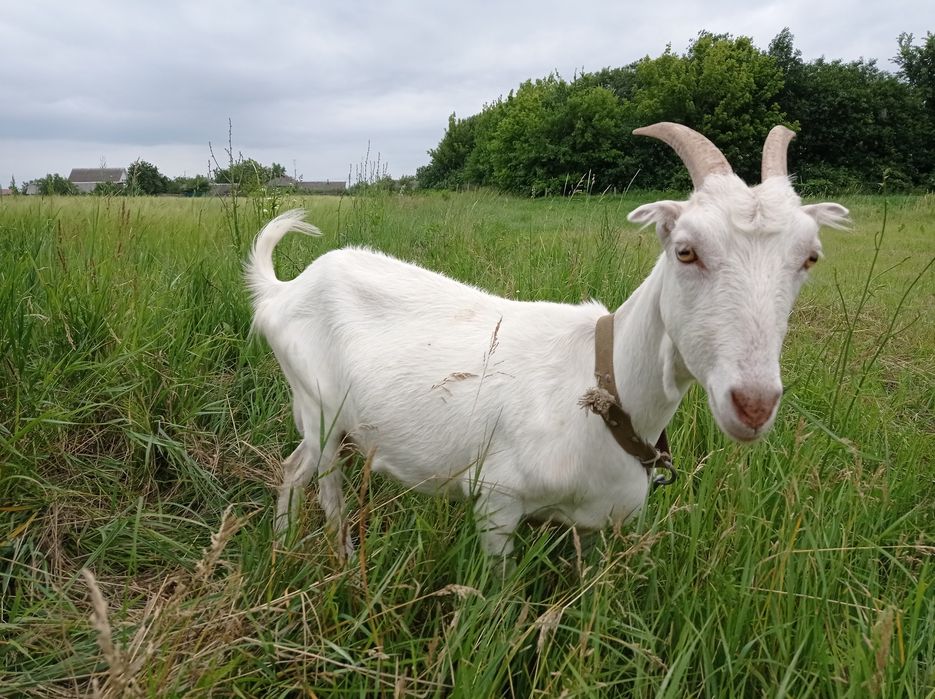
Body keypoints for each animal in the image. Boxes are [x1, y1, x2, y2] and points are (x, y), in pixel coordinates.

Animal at [247, 123, 849, 559]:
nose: (753, 404)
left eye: (810, 257)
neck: (604, 381)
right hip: (319, 408)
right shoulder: (497, 500)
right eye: (685, 250)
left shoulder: (597, 524)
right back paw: (329, 557)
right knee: (316, 481)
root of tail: (283, 290)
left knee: (301, 471)